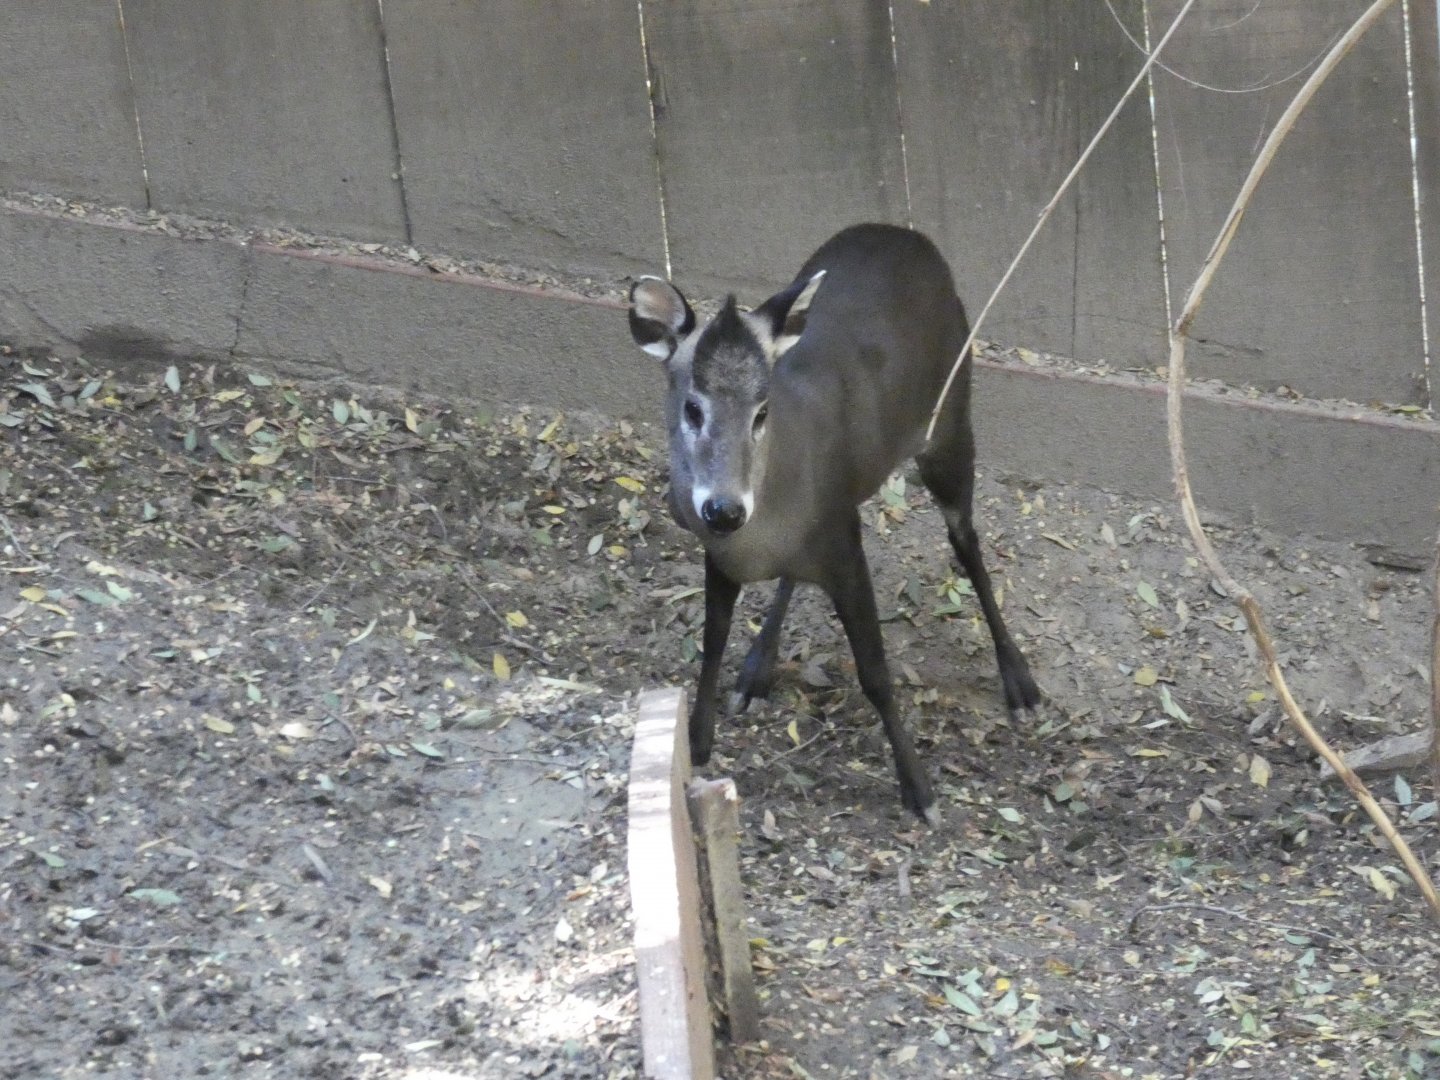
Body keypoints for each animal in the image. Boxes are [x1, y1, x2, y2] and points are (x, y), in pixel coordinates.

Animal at [628, 223, 1040, 821]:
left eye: (761, 411)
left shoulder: (845, 547)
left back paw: (1020, 682)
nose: (724, 509)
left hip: (951, 415)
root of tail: (910, 236)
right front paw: (699, 742)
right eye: (692, 408)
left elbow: (876, 673)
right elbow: (711, 645)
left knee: (965, 538)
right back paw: (757, 670)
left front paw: (920, 791)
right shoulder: (727, 556)